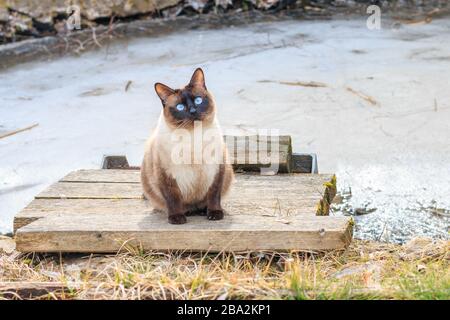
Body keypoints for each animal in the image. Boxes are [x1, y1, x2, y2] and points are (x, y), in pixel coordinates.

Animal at [142, 68, 234, 224]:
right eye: (180, 107)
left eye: (198, 100)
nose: (192, 111)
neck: (193, 137)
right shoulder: (166, 176)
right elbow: (173, 199)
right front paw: (177, 218)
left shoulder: (217, 170)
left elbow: (214, 194)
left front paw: (214, 214)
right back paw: (188, 212)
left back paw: (203, 211)